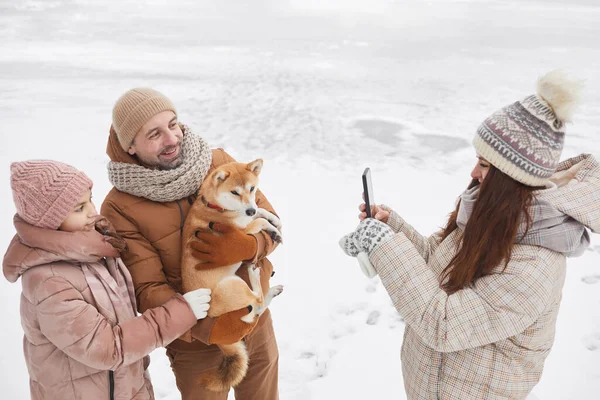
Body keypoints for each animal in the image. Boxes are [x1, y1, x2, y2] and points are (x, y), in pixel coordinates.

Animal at [180, 159, 284, 390]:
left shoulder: (250, 214)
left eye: (252, 188)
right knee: (256, 302)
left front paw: (274, 222)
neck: (216, 207)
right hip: (234, 285)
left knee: (256, 309)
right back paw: (255, 277)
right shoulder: (241, 232)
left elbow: (262, 212)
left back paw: (273, 289)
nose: (249, 209)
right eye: (235, 192)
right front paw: (271, 228)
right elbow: (258, 223)